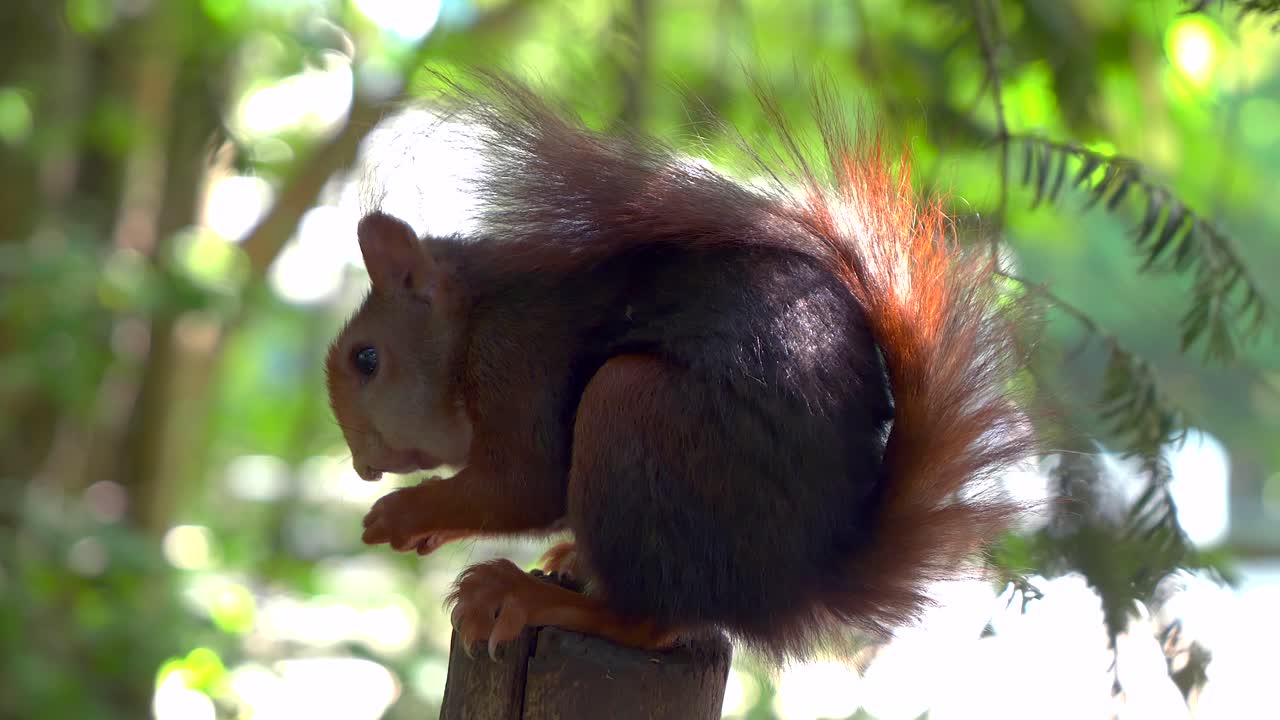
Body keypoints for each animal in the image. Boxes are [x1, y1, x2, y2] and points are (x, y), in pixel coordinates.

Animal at [325, 73, 1037, 663]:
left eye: (367, 359)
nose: (361, 467)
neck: (471, 323)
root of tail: (793, 585)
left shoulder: (516, 364)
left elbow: (520, 485)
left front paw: (400, 514)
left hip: (631, 410)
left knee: (649, 621)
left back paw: (535, 597)